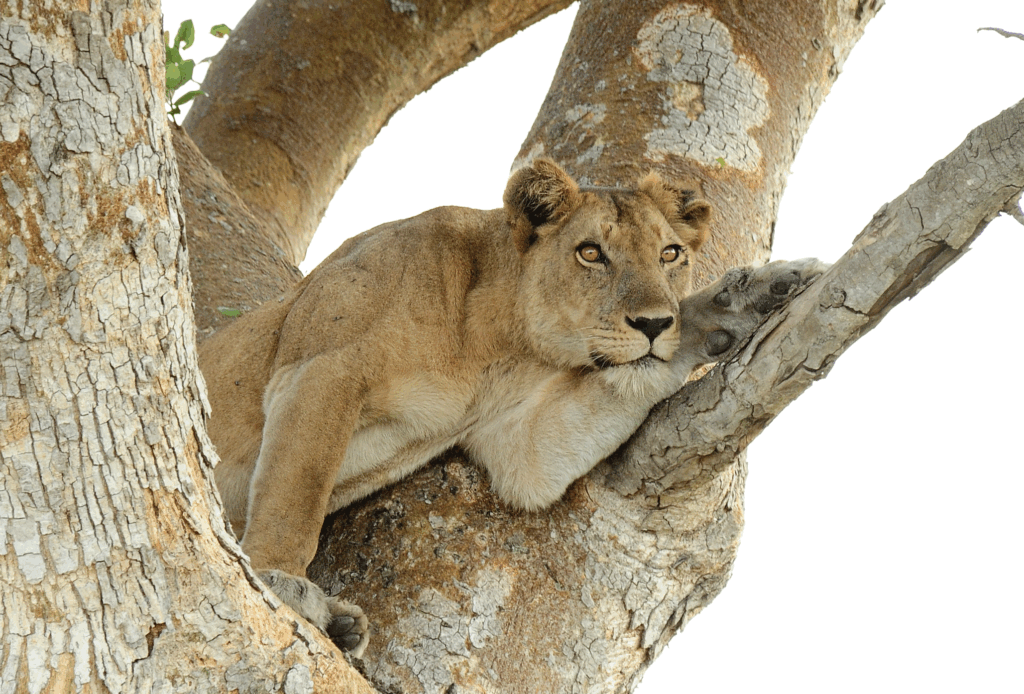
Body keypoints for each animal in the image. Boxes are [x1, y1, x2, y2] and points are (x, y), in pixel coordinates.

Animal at [198, 158, 826, 657]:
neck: (501, 342)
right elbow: (295, 495)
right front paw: (282, 583)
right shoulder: (318, 370)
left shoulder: (517, 442)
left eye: (670, 254)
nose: (652, 324)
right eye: (591, 253)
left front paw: (751, 300)